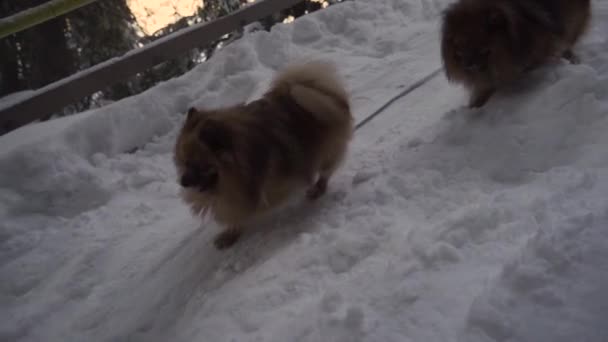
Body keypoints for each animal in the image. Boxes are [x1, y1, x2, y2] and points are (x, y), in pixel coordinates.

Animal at [173, 60, 354, 248]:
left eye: (198, 164)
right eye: (184, 163)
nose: (183, 182)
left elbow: (243, 208)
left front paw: (232, 232)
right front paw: (231, 231)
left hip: (327, 150)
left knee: (326, 171)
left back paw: (317, 188)